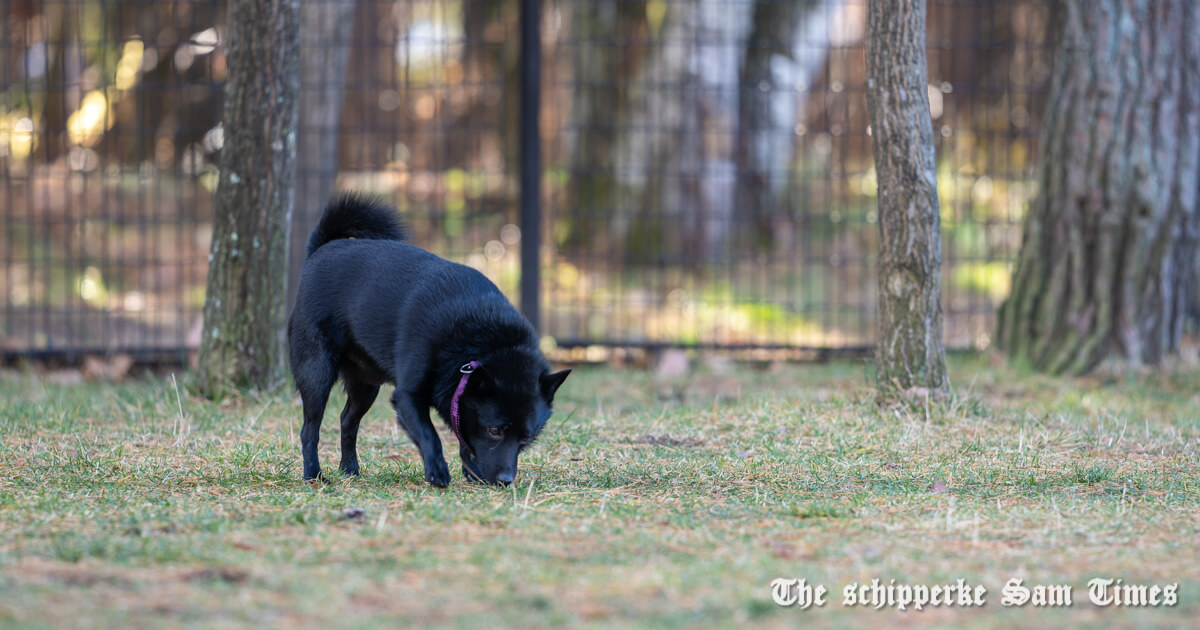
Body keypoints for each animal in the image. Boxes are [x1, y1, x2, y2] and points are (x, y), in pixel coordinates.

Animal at [289, 196, 571, 487]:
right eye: (494, 430)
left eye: (526, 438)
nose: (505, 480)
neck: (481, 337)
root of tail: (322, 249)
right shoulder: (407, 397)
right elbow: (430, 434)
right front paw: (438, 471)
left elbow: (465, 439)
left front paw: (473, 473)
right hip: (317, 374)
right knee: (310, 430)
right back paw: (313, 475)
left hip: (366, 386)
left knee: (347, 421)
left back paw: (349, 469)